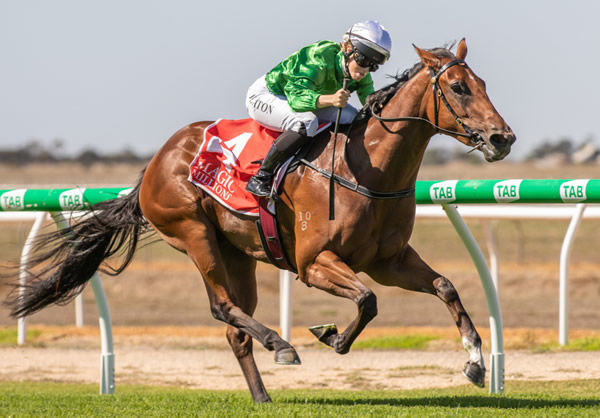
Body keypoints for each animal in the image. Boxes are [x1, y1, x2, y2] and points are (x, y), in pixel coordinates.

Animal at [5, 40, 516, 404]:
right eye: (458, 87)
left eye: (484, 83)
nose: (502, 137)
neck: (365, 168)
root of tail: (156, 161)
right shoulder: (314, 263)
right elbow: (368, 301)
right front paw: (330, 336)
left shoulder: (388, 261)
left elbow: (445, 286)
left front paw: (475, 362)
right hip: (194, 233)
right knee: (223, 308)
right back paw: (280, 344)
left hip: (239, 254)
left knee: (236, 325)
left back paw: (262, 395)